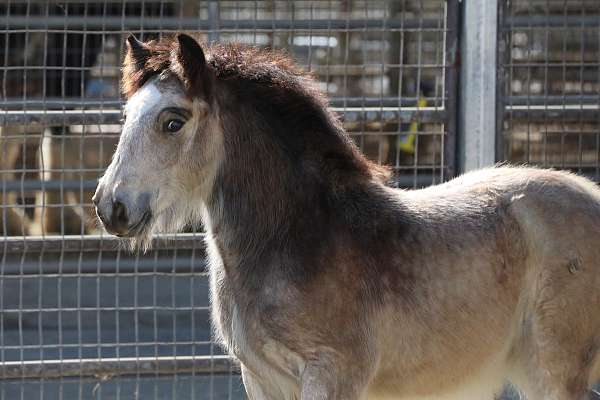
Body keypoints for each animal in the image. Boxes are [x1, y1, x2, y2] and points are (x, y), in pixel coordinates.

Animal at [92, 32, 600, 398]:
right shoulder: (262, 380)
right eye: (126, 116)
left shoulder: (332, 374)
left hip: (553, 371)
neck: (300, 238)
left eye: (172, 121)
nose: (110, 206)